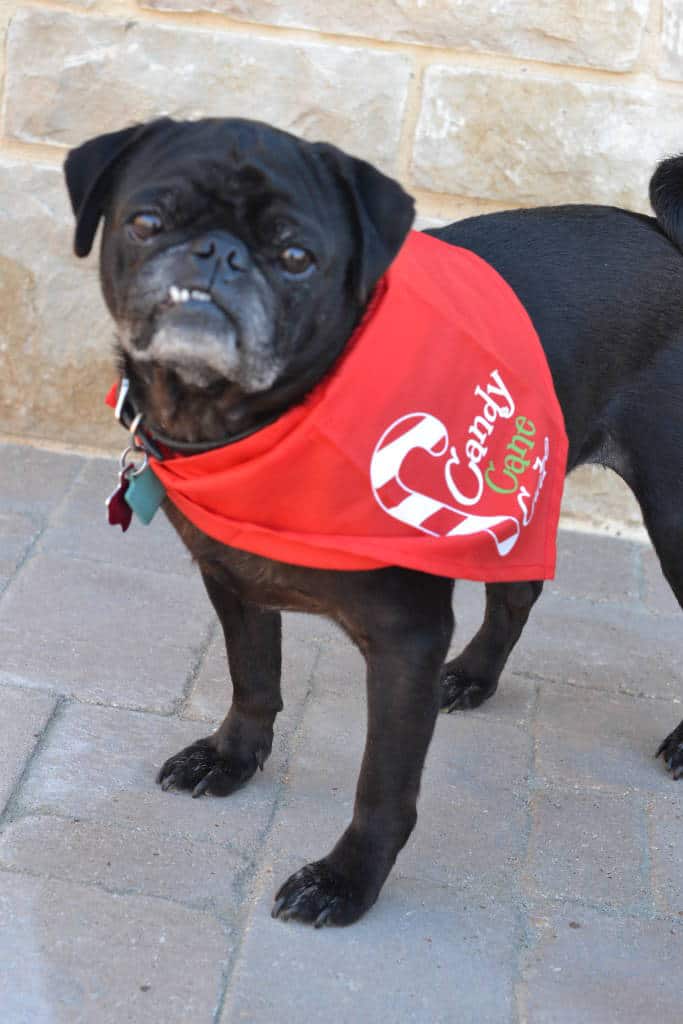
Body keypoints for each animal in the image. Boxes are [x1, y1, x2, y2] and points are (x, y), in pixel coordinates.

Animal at [61, 117, 679, 929]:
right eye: (144, 222)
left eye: (297, 257)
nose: (217, 253)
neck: (258, 423)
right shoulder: (231, 581)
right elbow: (253, 677)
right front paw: (232, 756)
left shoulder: (404, 639)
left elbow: (383, 786)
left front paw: (345, 880)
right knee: (517, 590)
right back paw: (474, 677)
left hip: (675, 514)